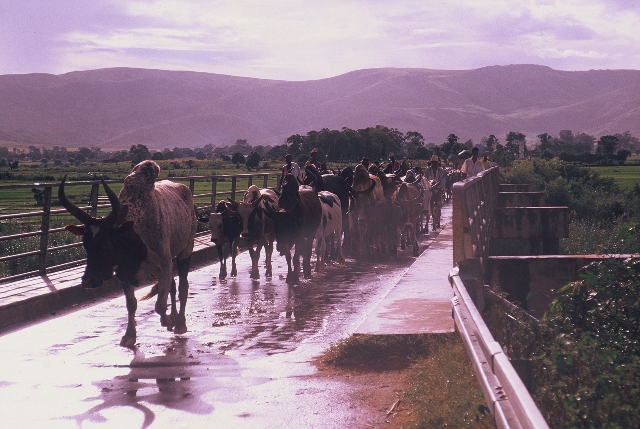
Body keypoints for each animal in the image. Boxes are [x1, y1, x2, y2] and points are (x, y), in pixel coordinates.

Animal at [60, 159, 196, 346]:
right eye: (85, 244)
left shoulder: (165, 265)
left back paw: (180, 323)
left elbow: (160, 305)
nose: (88, 280)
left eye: (106, 244)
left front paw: (167, 320)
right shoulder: (124, 273)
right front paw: (130, 335)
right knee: (173, 287)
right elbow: (132, 304)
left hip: (185, 251)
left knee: (182, 287)